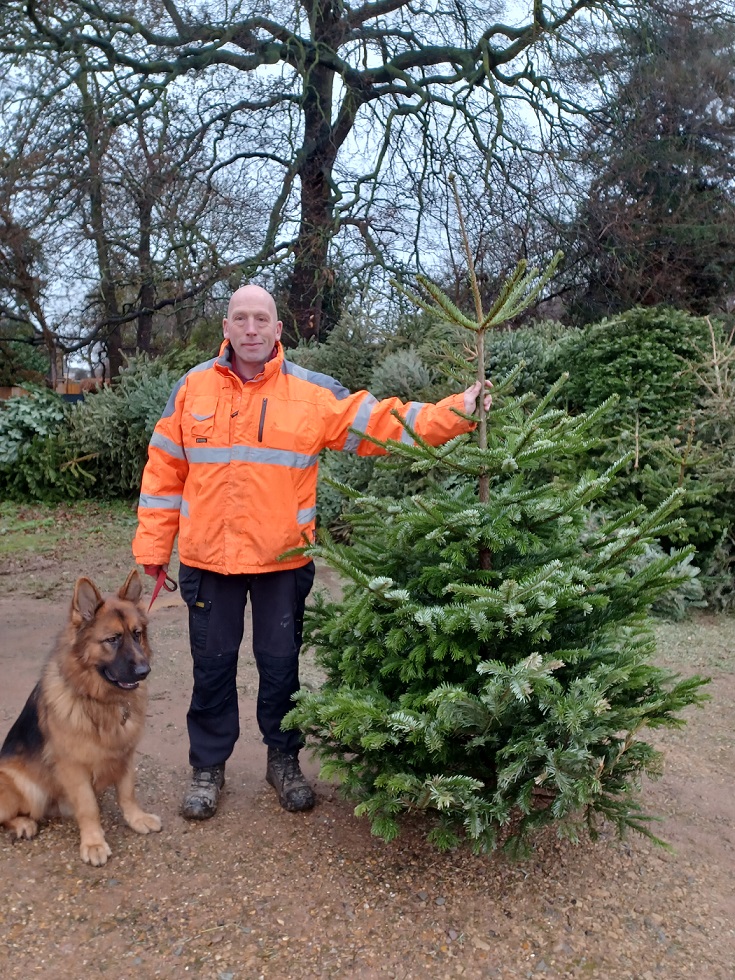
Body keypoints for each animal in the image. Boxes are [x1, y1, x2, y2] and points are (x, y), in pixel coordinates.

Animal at [0, 576, 162, 864]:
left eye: (137, 634)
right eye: (112, 639)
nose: (145, 671)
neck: (101, 701)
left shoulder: (125, 754)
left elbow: (127, 792)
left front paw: (137, 819)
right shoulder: (73, 767)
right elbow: (88, 807)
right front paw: (94, 843)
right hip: (24, 787)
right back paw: (23, 823)